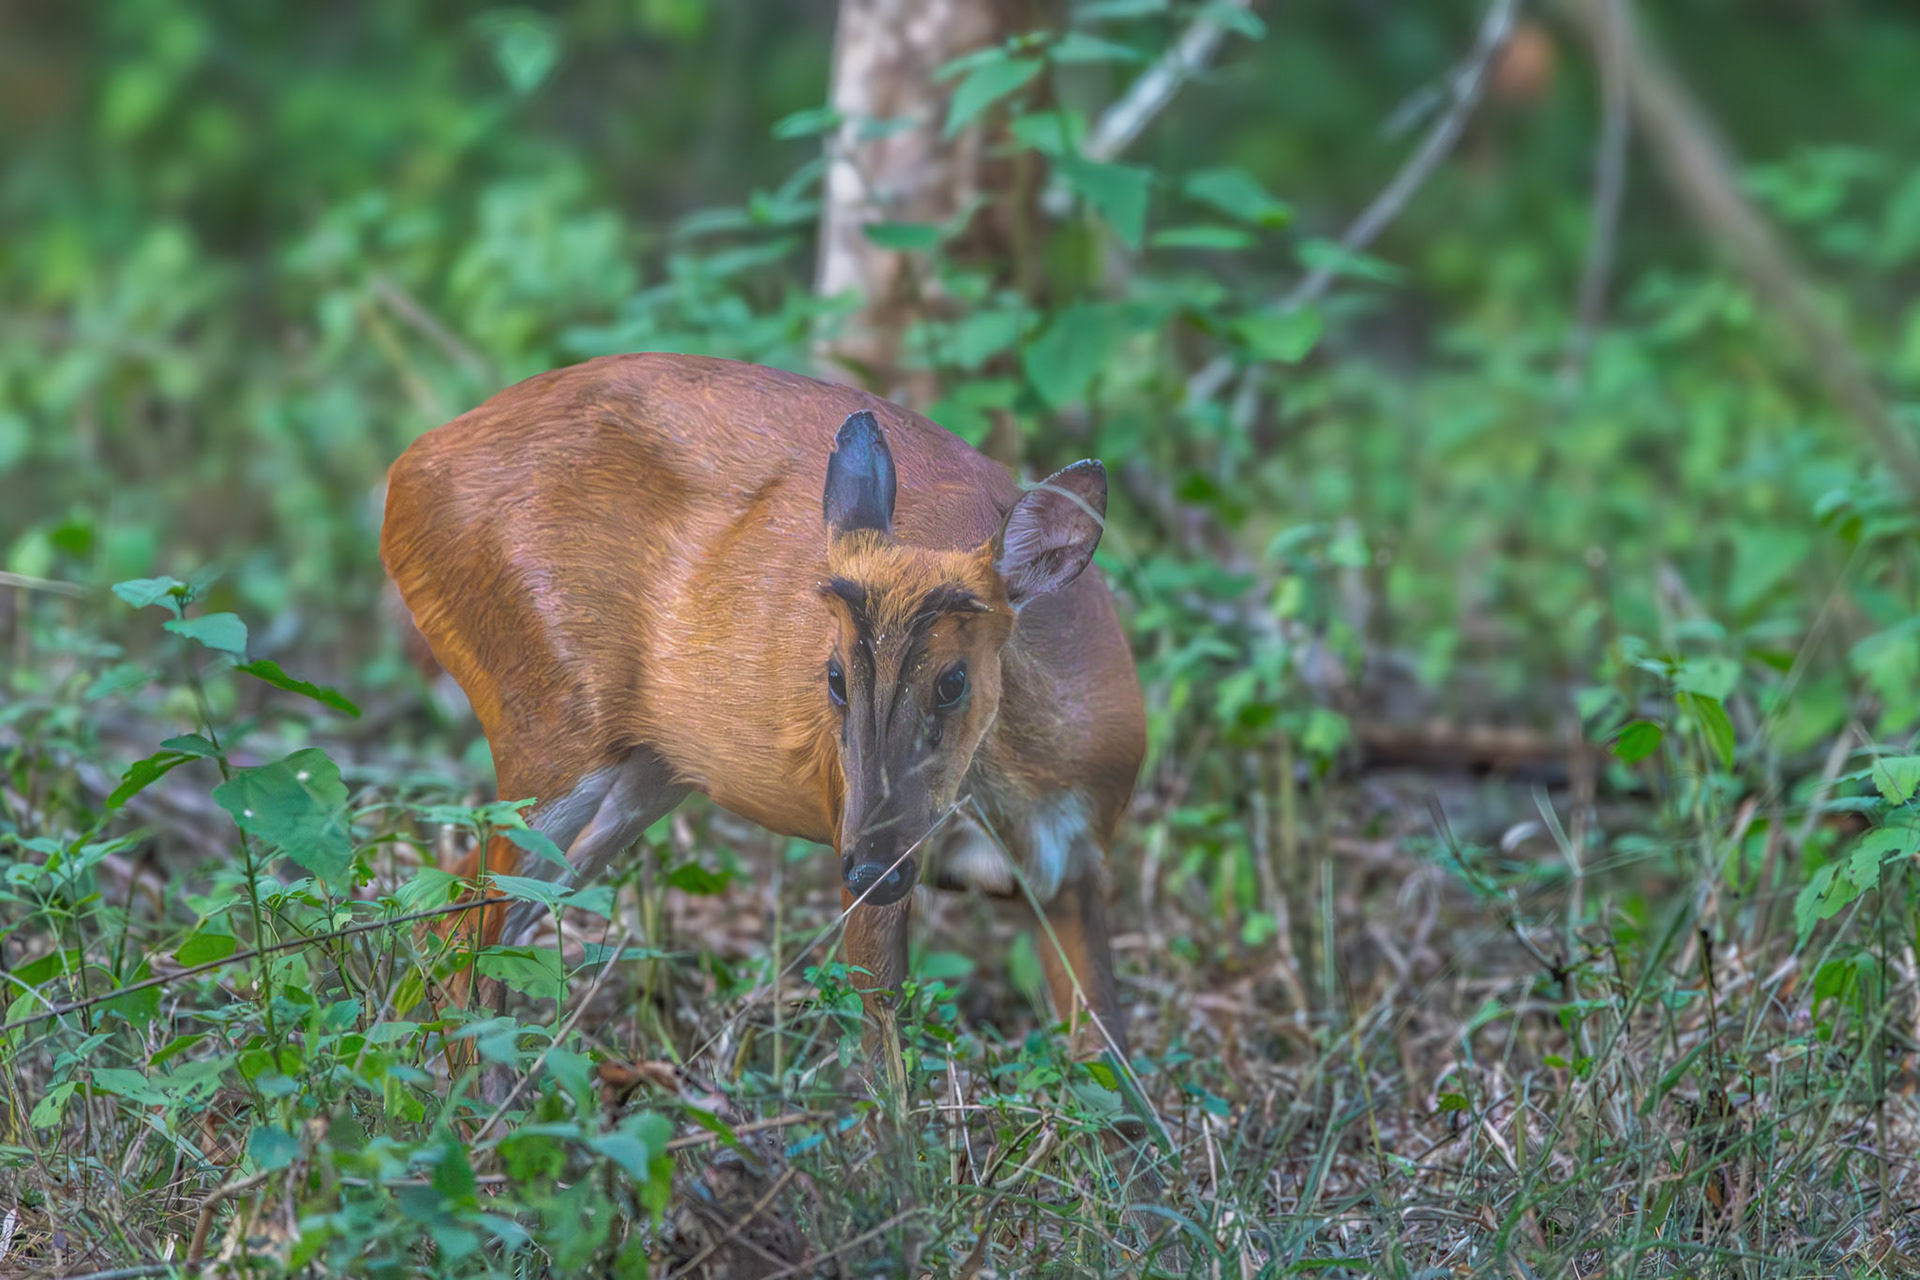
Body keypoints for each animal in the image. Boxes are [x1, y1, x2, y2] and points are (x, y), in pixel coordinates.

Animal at [380, 352, 1146, 1087]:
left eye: (953, 680)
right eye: (833, 676)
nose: (871, 865)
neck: (1017, 787)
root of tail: (405, 474)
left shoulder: (1078, 862)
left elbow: (1106, 1048)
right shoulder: (854, 821)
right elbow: (882, 1045)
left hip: (642, 773)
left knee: (468, 917)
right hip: (546, 716)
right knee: (465, 924)